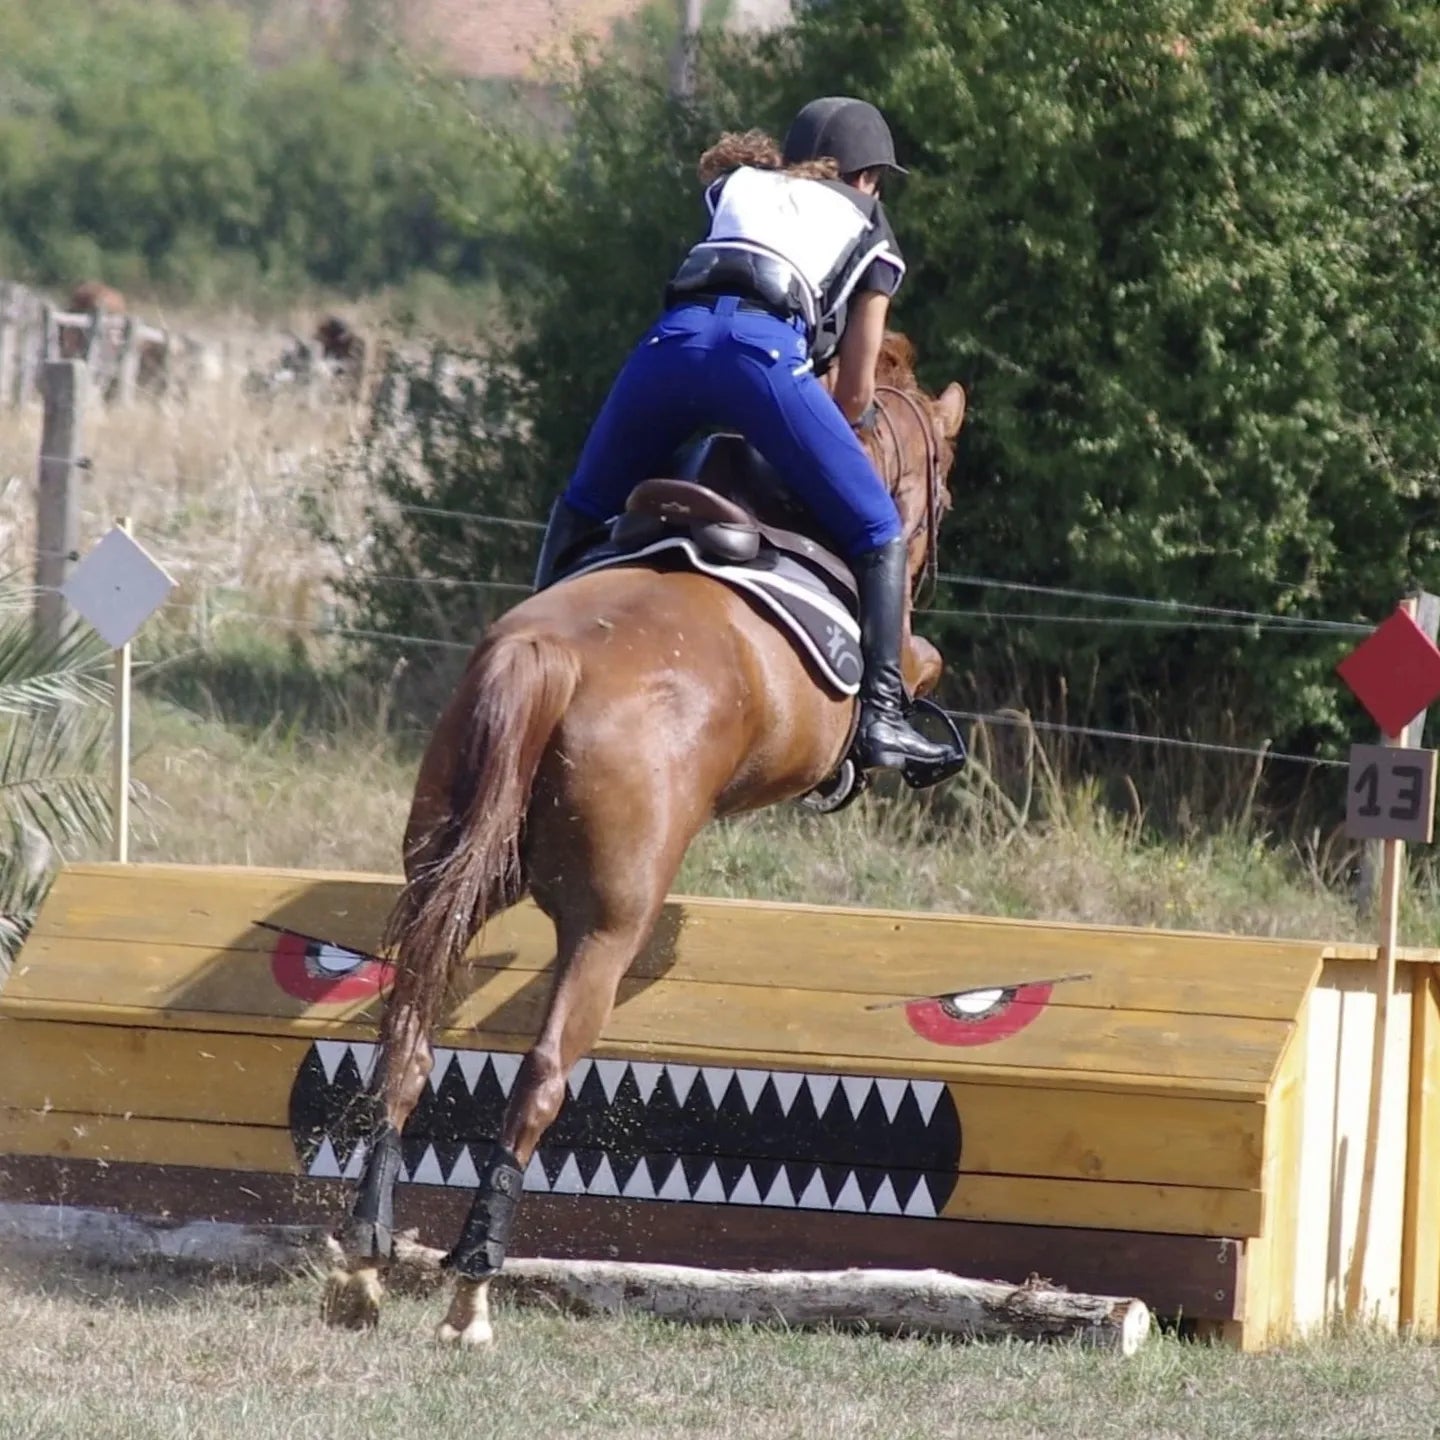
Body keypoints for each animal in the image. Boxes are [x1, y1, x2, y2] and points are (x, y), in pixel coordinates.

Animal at [324, 331, 967, 1342]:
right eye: (940, 495)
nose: (934, 539)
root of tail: (546, 657)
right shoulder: (884, 656)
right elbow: (917, 664)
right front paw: (895, 746)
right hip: (608, 924)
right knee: (543, 1073)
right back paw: (472, 1287)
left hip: (449, 874)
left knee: (409, 1035)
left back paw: (363, 1258)